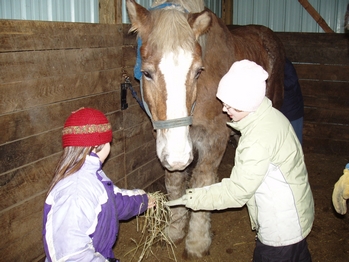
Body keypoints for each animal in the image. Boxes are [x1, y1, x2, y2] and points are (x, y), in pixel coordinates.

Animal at [126, 0, 284, 258]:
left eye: (198, 71)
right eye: (146, 73)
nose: (179, 157)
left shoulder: (214, 139)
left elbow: (201, 183)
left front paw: (197, 242)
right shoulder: (172, 146)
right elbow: (175, 183)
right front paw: (175, 229)